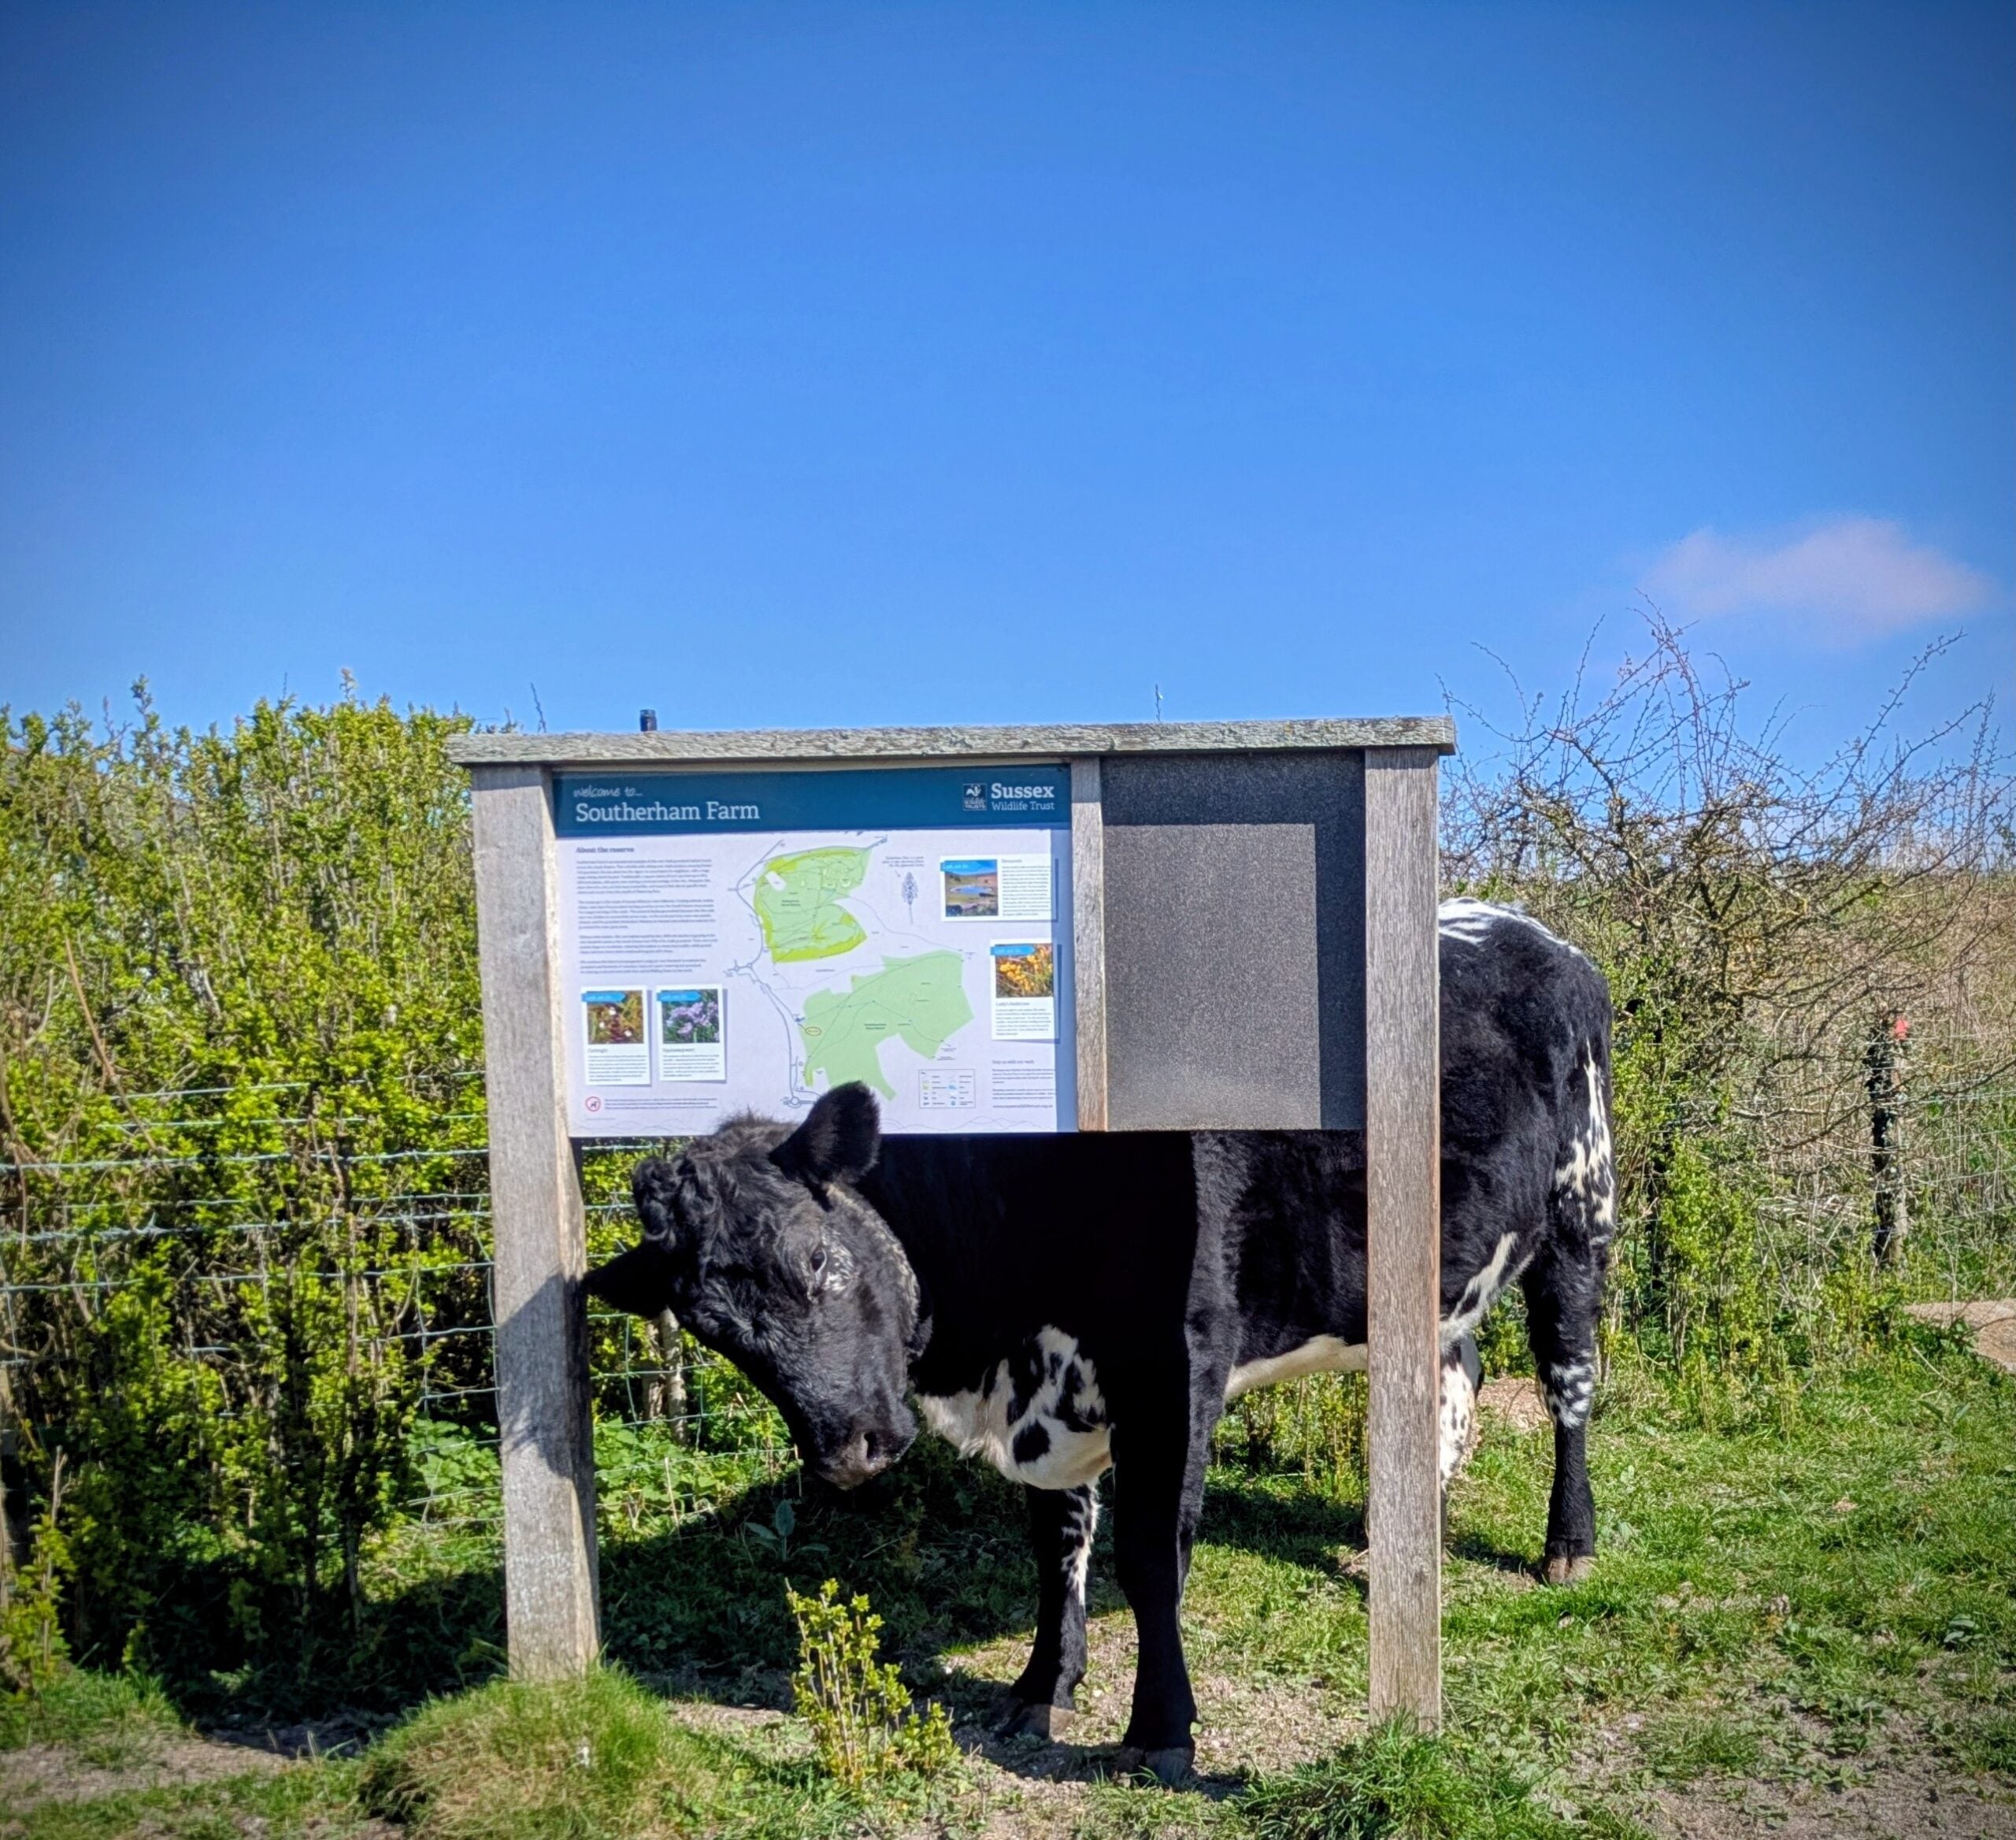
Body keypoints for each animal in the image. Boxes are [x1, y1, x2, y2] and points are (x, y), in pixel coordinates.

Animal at [586, 898, 1614, 1781]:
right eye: (708, 1326)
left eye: (817, 1259)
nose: (849, 1451)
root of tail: (1524, 925)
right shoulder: (1047, 1383)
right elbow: (1059, 1541)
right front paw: (1043, 1683)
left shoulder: (1173, 1364)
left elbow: (1150, 1553)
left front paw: (1158, 1729)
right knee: (1452, 1375)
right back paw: (1403, 1539)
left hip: (1581, 1204)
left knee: (1567, 1376)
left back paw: (1567, 1543)